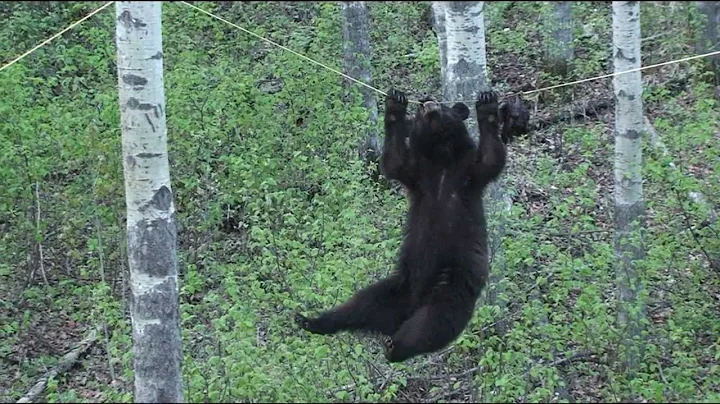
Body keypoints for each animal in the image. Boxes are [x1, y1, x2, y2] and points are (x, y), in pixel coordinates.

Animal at [295, 88, 507, 363]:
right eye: (418, 110)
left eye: (443, 107)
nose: (427, 102)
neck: (441, 158)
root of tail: (410, 307)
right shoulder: (418, 174)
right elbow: (394, 161)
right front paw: (395, 104)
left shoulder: (467, 173)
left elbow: (491, 158)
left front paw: (487, 103)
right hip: (395, 289)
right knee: (360, 305)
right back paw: (312, 321)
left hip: (450, 285)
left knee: (432, 322)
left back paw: (396, 347)